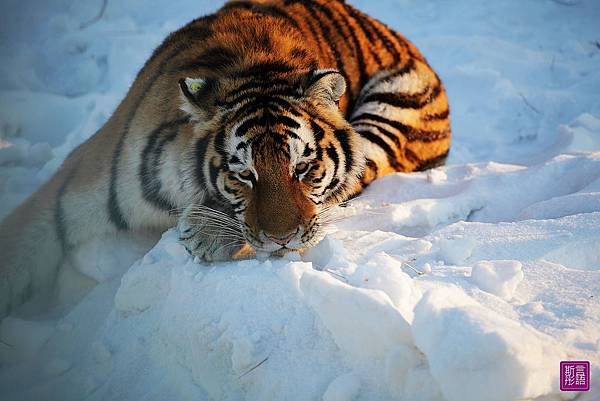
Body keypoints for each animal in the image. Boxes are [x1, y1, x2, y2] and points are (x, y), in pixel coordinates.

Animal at [0, 0, 450, 318]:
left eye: (302, 168)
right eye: (244, 175)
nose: (282, 239)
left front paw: (206, 233)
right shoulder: (67, 195)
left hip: (394, 113)